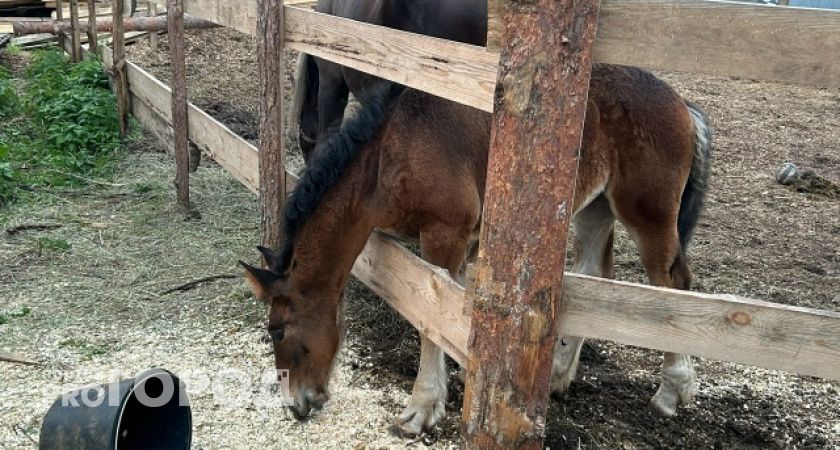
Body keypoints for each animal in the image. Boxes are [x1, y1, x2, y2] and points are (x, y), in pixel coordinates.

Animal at [241, 64, 713, 436]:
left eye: (277, 331)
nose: (296, 403)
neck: (391, 152)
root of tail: (682, 103)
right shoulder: (464, 243)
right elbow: (451, 313)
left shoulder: (444, 236)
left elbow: (431, 320)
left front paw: (420, 409)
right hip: (595, 210)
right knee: (597, 274)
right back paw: (559, 376)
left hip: (648, 214)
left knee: (672, 284)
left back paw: (672, 389)